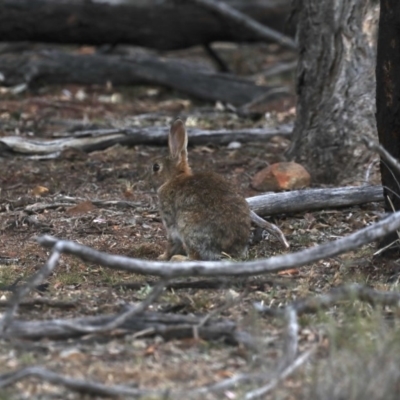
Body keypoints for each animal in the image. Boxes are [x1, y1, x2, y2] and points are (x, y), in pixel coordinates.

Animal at [150, 118, 250, 262]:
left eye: (156, 167)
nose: (148, 180)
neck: (174, 178)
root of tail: (229, 249)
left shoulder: (170, 223)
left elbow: (171, 243)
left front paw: (162, 257)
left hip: (188, 227)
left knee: (195, 257)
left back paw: (178, 258)